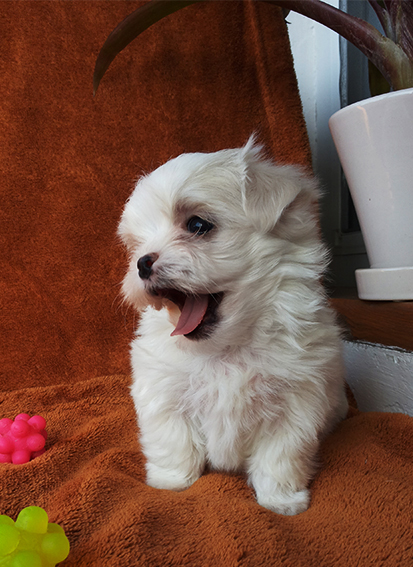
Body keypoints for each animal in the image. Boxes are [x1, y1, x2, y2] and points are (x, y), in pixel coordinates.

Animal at [118, 137, 348, 516]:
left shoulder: (296, 401)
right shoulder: (163, 390)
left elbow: (280, 455)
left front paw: (281, 500)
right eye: (136, 245)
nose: (142, 263)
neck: (226, 348)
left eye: (197, 225)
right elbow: (173, 439)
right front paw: (170, 482)